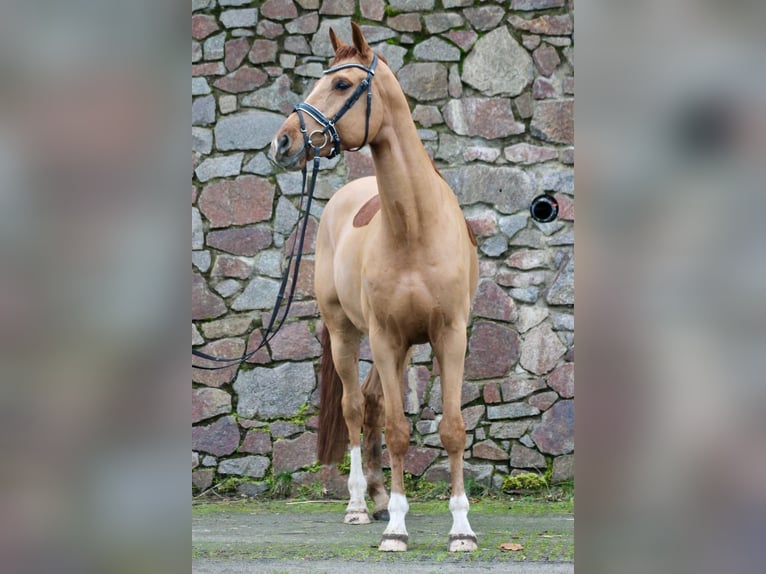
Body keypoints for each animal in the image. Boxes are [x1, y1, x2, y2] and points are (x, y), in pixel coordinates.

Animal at [272, 23, 480, 552]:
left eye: (342, 84)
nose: (282, 143)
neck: (413, 227)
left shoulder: (449, 336)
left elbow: (451, 428)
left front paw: (461, 529)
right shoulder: (385, 338)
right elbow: (397, 429)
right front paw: (397, 530)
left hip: (404, 347)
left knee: (371, 401)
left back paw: (380, 495)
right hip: (347, 334)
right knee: (354, 408)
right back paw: (359, 505)